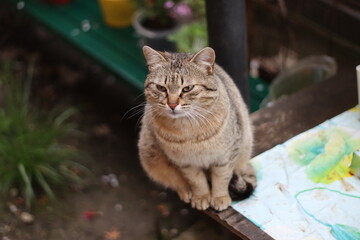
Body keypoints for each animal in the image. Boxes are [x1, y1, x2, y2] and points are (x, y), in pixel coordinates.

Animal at [138, 45, 256, 210]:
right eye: (161, 88)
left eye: (187, 88)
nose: (172, 104)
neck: (189, 127)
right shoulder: (185, 162)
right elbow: (197, 181)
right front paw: (201, 196)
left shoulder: (227, 154)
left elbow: (222, 177)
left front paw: (219, 197)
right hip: (149, 154)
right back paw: (185, 190)